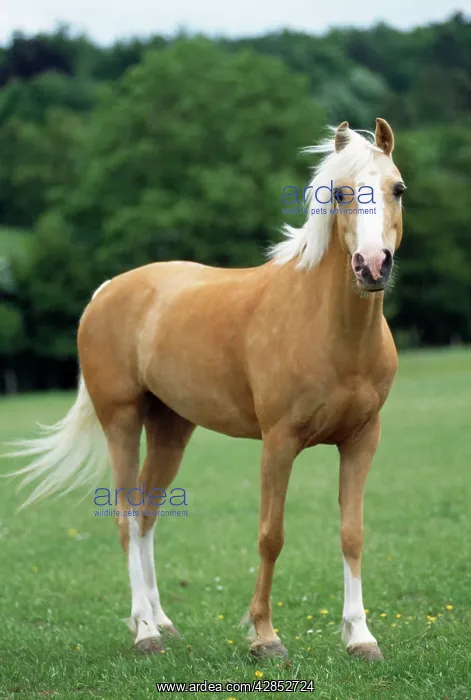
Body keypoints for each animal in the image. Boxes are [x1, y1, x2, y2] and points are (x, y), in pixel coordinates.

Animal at [6, 118, 405, 662]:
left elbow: (352, 533)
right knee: (125, 516)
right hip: (121, 422)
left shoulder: (363, 440)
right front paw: (264, 636)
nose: (371, 265)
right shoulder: (278, 443)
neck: (330, 330)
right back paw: (145, 632)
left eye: (397, 189)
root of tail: (107, 290)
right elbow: (271, 535)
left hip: (171, 428)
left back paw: (162, 621)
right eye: (341, 192)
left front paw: (360, 636)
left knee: (147, 515)